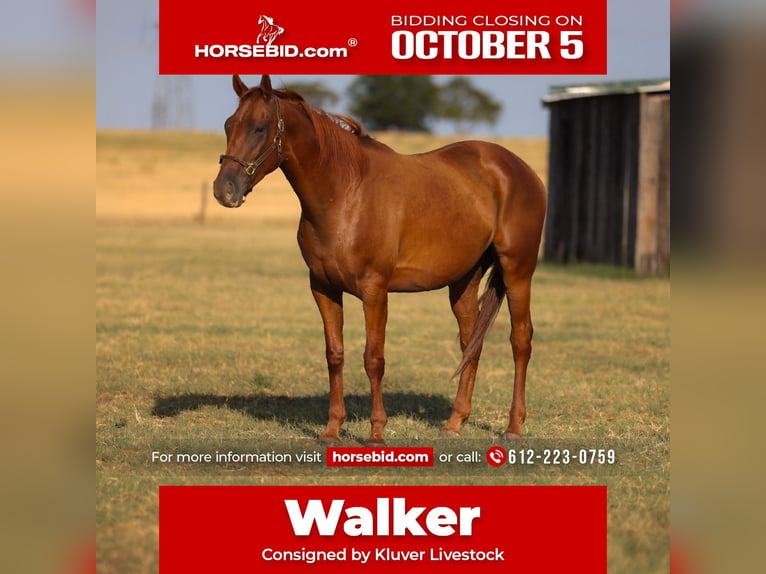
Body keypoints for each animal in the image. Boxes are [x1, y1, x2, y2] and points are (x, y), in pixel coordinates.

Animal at [213, 75, 547, 444]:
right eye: (229, 125)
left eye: (259, 127)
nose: (224, 190)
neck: (345, 193)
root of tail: (521, 169)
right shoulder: (323, 288)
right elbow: (335, 355)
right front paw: (332, 429)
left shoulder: (375, 291)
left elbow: (373, 359)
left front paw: (376, 433)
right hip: (463, 281)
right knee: (470, 341)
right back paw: (454, 423)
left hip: (518, 271)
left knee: (520, 340)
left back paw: (513, 427)